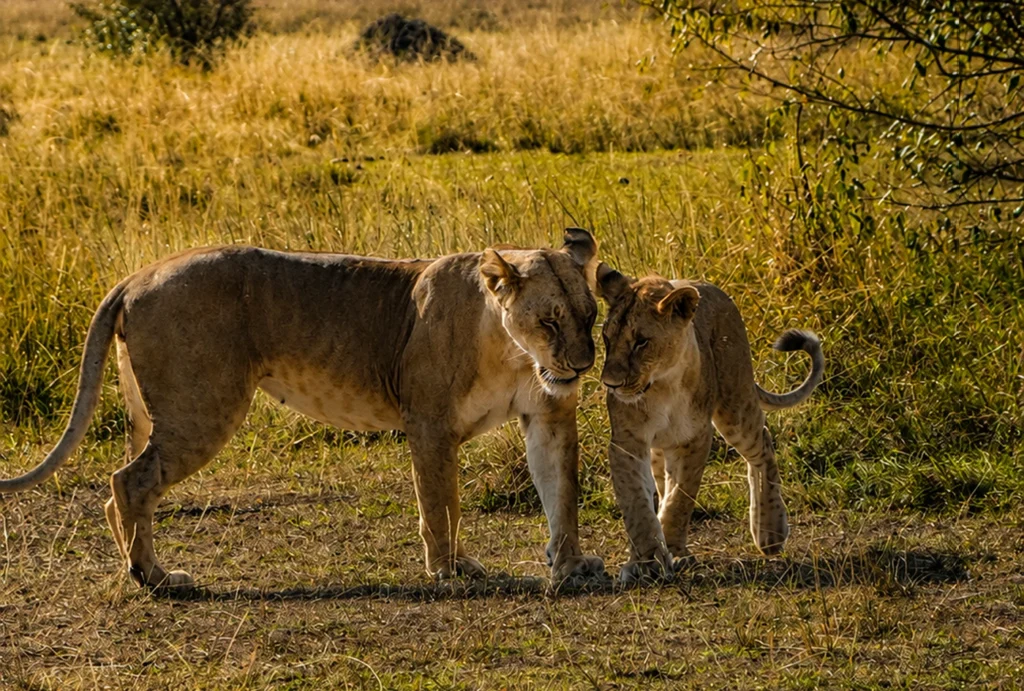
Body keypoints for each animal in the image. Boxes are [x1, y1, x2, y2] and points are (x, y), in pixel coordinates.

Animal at [0, 229, 607, 589]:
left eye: (590, 314)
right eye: (548, 321)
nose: (581, 367)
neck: (514, 352)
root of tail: (138, 274)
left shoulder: (550, 415)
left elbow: (561, 493)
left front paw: (571, 565)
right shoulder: (429, 423)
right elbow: (442, 506)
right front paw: (448, 572)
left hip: (152, 413)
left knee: (118, 485)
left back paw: (135, 568)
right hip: (202, 408)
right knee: (129, 481)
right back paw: (156, 576)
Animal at [595, 265, 824, 584]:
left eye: (641, 341)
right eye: (606, 338)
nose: (611, 384)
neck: (660, 384)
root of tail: (715, 289)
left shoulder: (695, 437)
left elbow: (681, 499)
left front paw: (672, 551)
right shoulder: (628, 442)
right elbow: (636, 504)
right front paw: (647, 561)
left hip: (735, 405)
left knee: (762, 445)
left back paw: (769, 532)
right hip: (663, 447)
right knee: (662, 483)